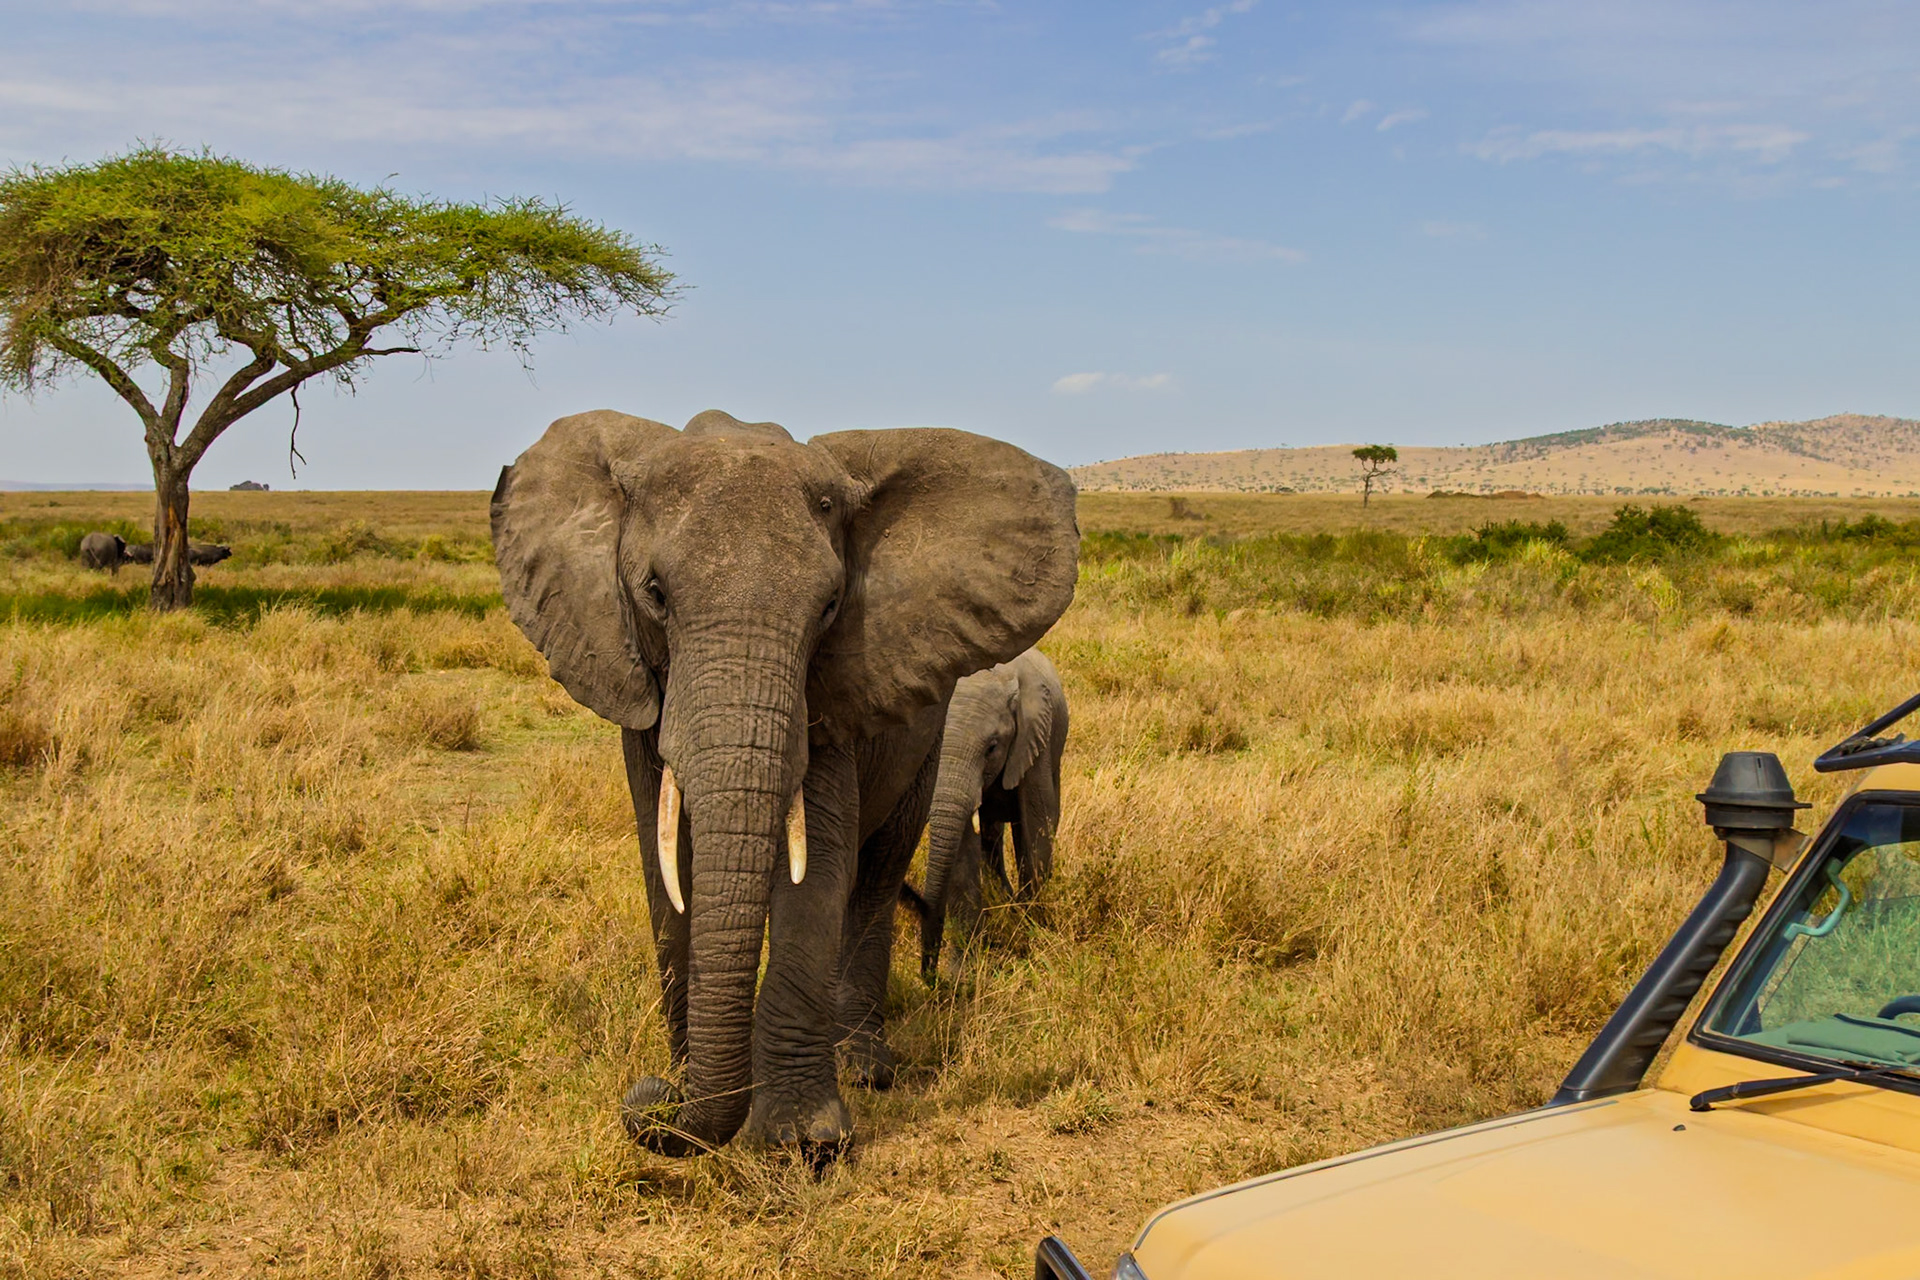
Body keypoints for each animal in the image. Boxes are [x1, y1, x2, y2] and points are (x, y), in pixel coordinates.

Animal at [907, 648, 1069, 982]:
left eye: (992, 747)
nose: (931, 976)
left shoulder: (1036, 739)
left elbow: (1036, 831)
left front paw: (1029, 935)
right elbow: (963, 853)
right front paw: (962, 974)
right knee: (991, 838)